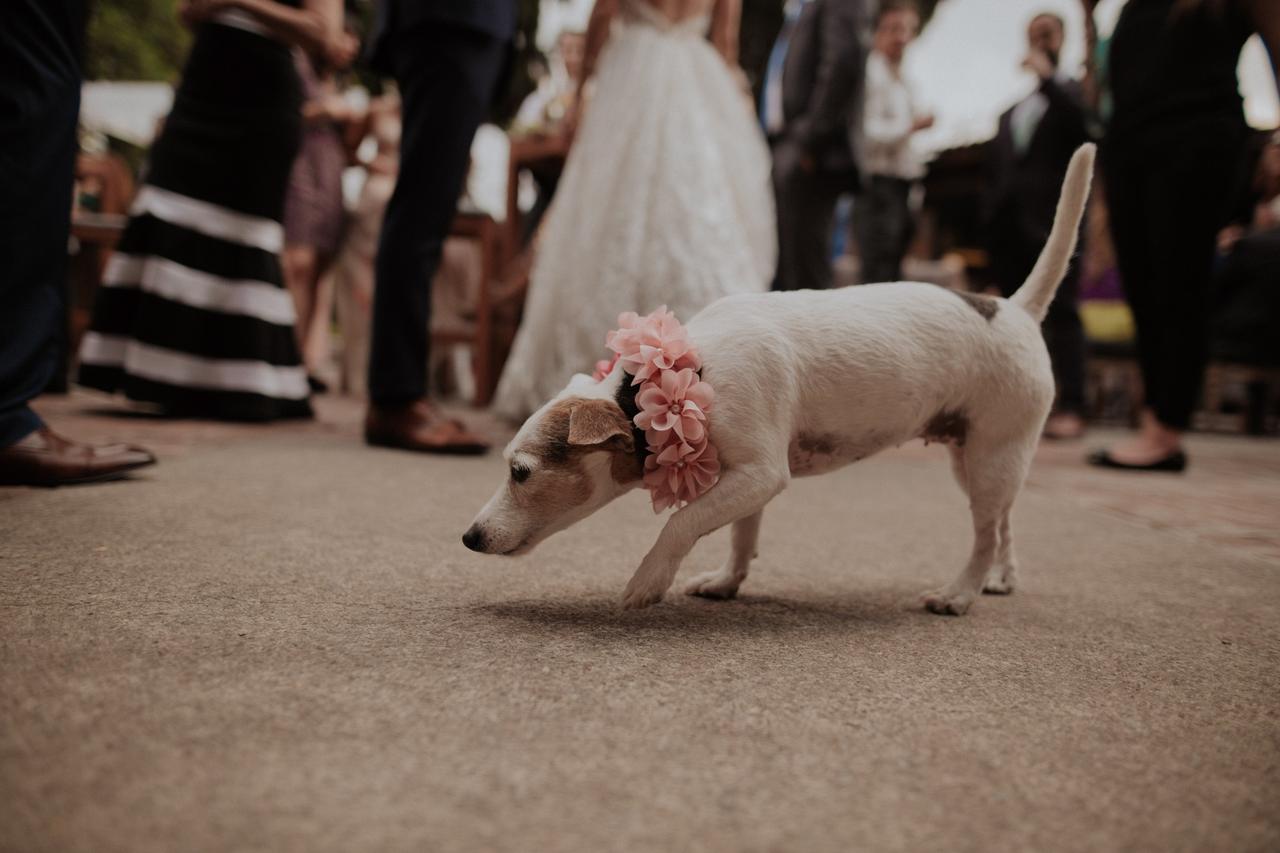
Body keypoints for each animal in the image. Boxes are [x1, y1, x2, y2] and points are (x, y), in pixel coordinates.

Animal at [465, 144, 1095, 612]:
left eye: (520, 472)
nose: (468, 537)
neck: (665, 384)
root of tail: (1014, 308)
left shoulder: (761, 473)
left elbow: (684, 523)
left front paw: (648, 580)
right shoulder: (744, 478)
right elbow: (741, 533)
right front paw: (726, 580)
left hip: (991, 456)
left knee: (985, 532)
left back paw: (960, 592)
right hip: (978, 460)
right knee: (1004, 521)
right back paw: (998, 578)